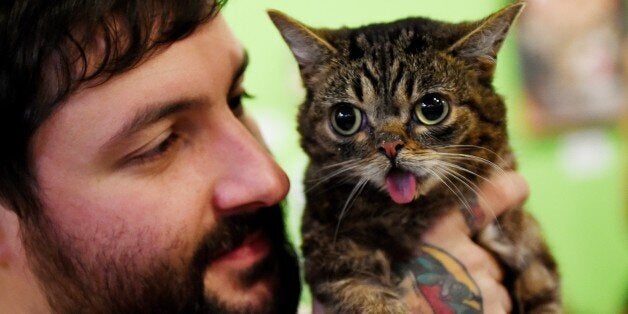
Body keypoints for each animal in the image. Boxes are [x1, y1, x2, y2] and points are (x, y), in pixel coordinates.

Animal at [268, 3, 560, 312]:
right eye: (345, 118)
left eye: (432, 108)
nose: (390, 146)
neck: (410, 213)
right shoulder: (334, 256)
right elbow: (369, 300)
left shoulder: (528, 246)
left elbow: (542, 293)